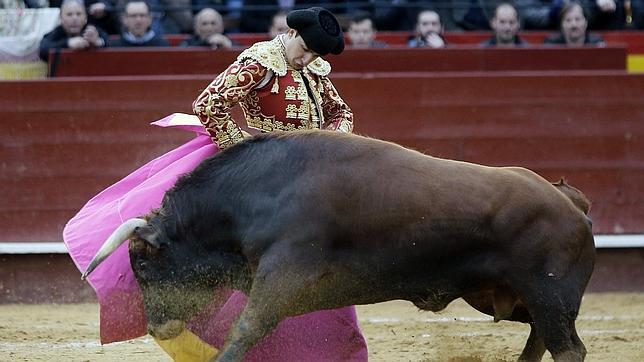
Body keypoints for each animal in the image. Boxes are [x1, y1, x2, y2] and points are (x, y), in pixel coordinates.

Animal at [83, 131, 596, 362]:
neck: (253, 193)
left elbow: (246, 329)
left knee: (567, 347)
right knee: (544, 340)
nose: (158, 328)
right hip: (509, 296)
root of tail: (568, 200)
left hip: (549, 294)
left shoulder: (284, 271)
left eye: (142, 266)